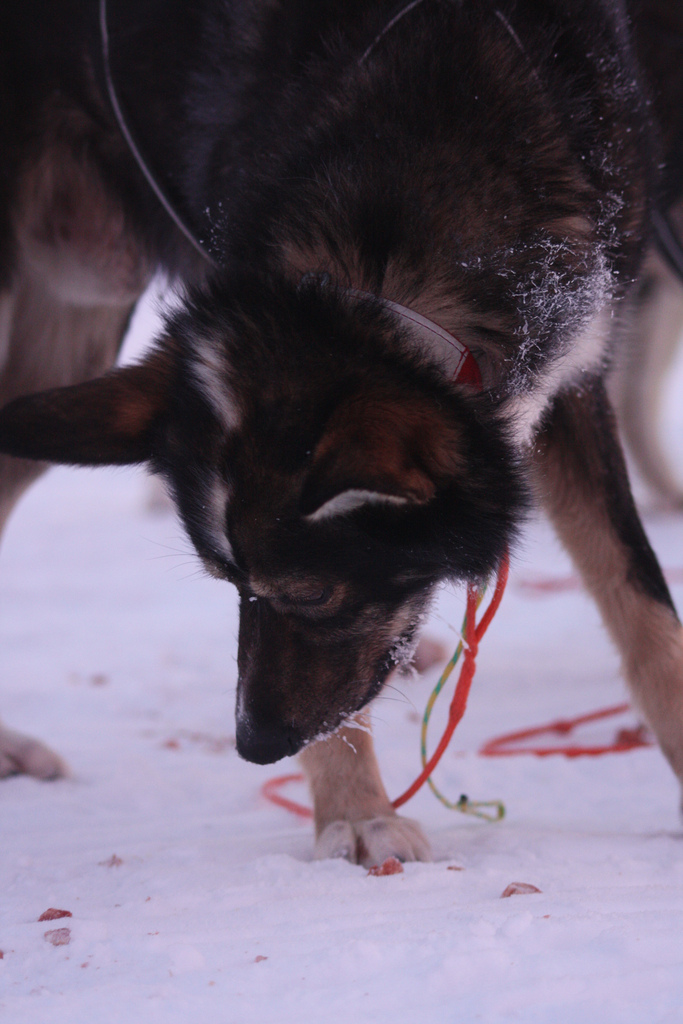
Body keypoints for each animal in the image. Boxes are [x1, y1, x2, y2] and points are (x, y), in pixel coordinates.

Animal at [1, 0, 683, 868]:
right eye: (229, 583)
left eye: (310, 593)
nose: (255, 746)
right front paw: (354, 813)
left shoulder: (570, 376)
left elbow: (643, 606)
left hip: (72, 327)